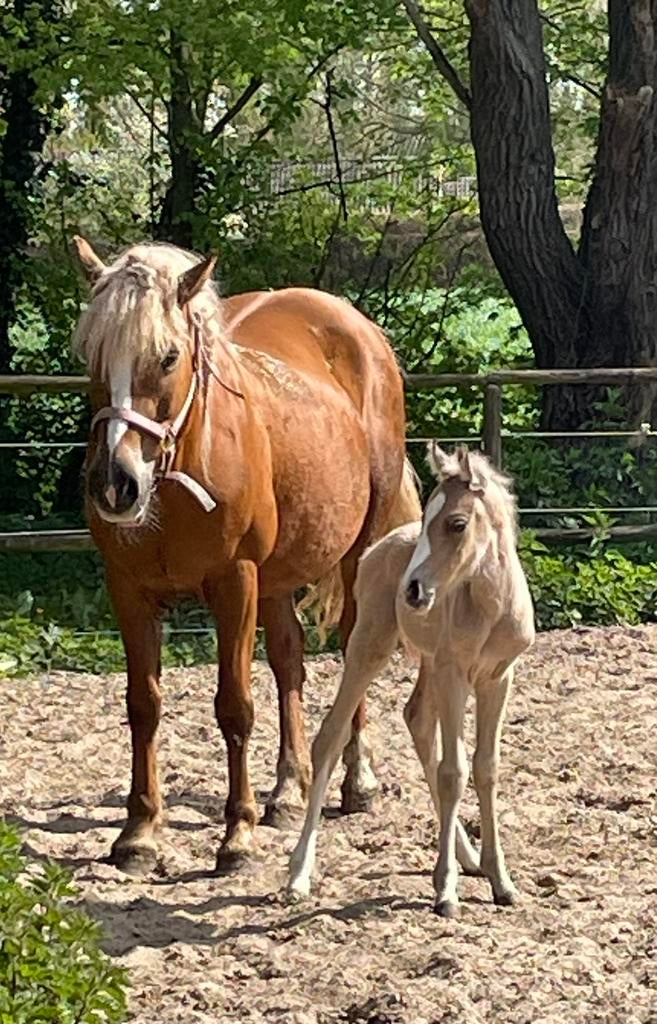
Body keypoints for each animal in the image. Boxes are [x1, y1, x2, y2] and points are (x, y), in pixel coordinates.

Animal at [71, 236, 421, 874]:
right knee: (288, 659)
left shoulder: (234, 583)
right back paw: (288, 790)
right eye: (92, 355)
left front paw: (237, 835)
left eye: (168, 357)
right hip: (277, 576)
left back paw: (357, 783)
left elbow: (234, 706)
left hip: (356, 551)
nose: (115, 484)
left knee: (354, 649)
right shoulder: (129, 588)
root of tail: (361, 331)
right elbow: (143, 705)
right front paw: (139, 832)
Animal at [288, 445, 535, 916]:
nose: (413, 591)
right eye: (426, 520)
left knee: (417, 719)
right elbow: (454, 771)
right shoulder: (455, 675)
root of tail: (375, 548)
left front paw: (501, 881)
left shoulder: (498, 677)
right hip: (371, 647)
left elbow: (485, 768)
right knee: (329, 738)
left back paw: (468, 857)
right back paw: (297, 876)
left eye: (456, 523)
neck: (489, 607)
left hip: (429, 664)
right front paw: (446, 892)